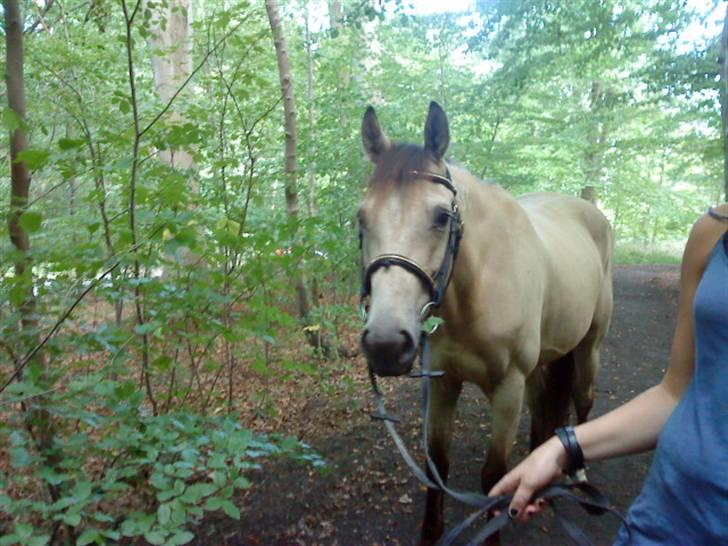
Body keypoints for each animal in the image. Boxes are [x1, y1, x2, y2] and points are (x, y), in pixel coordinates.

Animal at [358, 101, 616, 540]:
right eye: (361, 218)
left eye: (442, 216)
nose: (386, 345)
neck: (475, 293)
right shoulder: (443, 384)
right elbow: (436, 466)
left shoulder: (508, 388)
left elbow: (493, 478)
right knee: (546, 405)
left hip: (588, 347)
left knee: (583, 402)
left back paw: (580, 482)